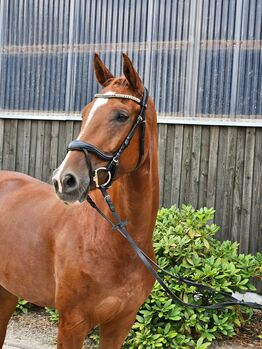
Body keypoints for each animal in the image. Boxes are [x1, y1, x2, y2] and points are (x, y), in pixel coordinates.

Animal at [0, 53, 160, 346]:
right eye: (85, 114)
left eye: (121, 116)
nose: (64, 180)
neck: (117, 240)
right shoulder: (72, 323)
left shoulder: (120, 324)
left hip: (6, 291)